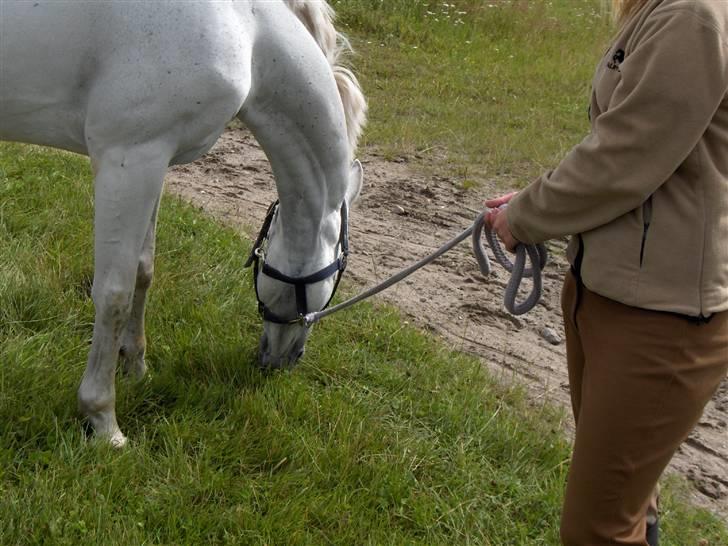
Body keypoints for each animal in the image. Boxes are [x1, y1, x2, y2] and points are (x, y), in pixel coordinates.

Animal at [0, 0, 364, 444]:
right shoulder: (129, 159)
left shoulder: (157, 161)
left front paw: (135, 366)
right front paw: (103, 420)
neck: (245, 28)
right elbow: (114, 294)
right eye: (338, 273)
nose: (283, 361)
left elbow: (143, 270)